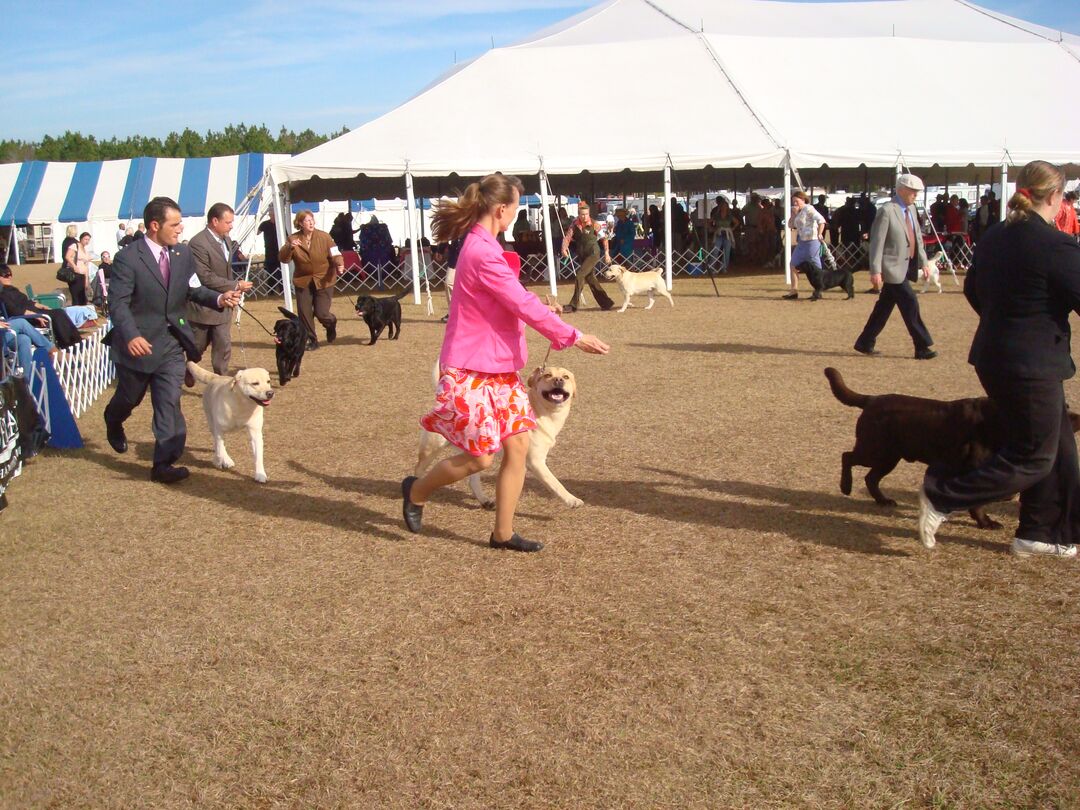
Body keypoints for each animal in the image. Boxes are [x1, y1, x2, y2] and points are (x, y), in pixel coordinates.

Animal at [414, 367, 583, 507]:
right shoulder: (535, 461)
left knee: (473, 479)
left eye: (566, 377)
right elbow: (555, 483)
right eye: (547, 375)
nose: (558, 380)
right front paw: (572, 500)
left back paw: (484, 500)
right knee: (419, 469)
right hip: (432, 447)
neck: (544, 413)